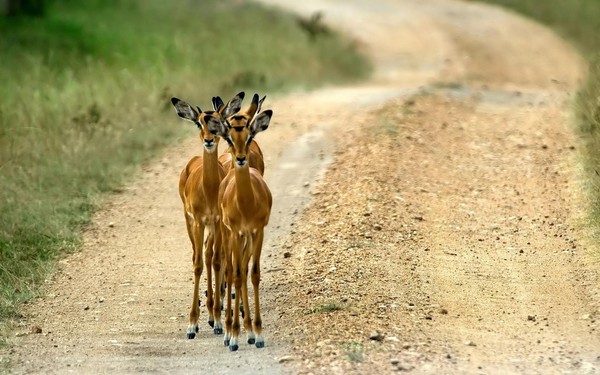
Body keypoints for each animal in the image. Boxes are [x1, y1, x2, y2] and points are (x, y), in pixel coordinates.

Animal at [170, 92, 243, 340]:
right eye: (198, 122)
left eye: (220, 121)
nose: (209, 140)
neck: (209, 190)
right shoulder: (200, 221)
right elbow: (198, 265)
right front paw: (192, 325)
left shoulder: (218, 222)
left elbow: (217, 261)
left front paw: (219, 321)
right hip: (189, 222)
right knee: (198, 255)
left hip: (212, 228)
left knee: (211, 255)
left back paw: (213, 312)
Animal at [207, 98, 274, 352]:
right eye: (229, 138)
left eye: (249, 136)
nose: (241, 158)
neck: (246, 203)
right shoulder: (236, 233)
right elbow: (235, 274)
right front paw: (234, 335)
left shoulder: (257, 232)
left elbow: (252, 274)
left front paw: (258, 333)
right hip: (227, 234)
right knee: (228, 268)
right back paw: (227, 330)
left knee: (240, 270)